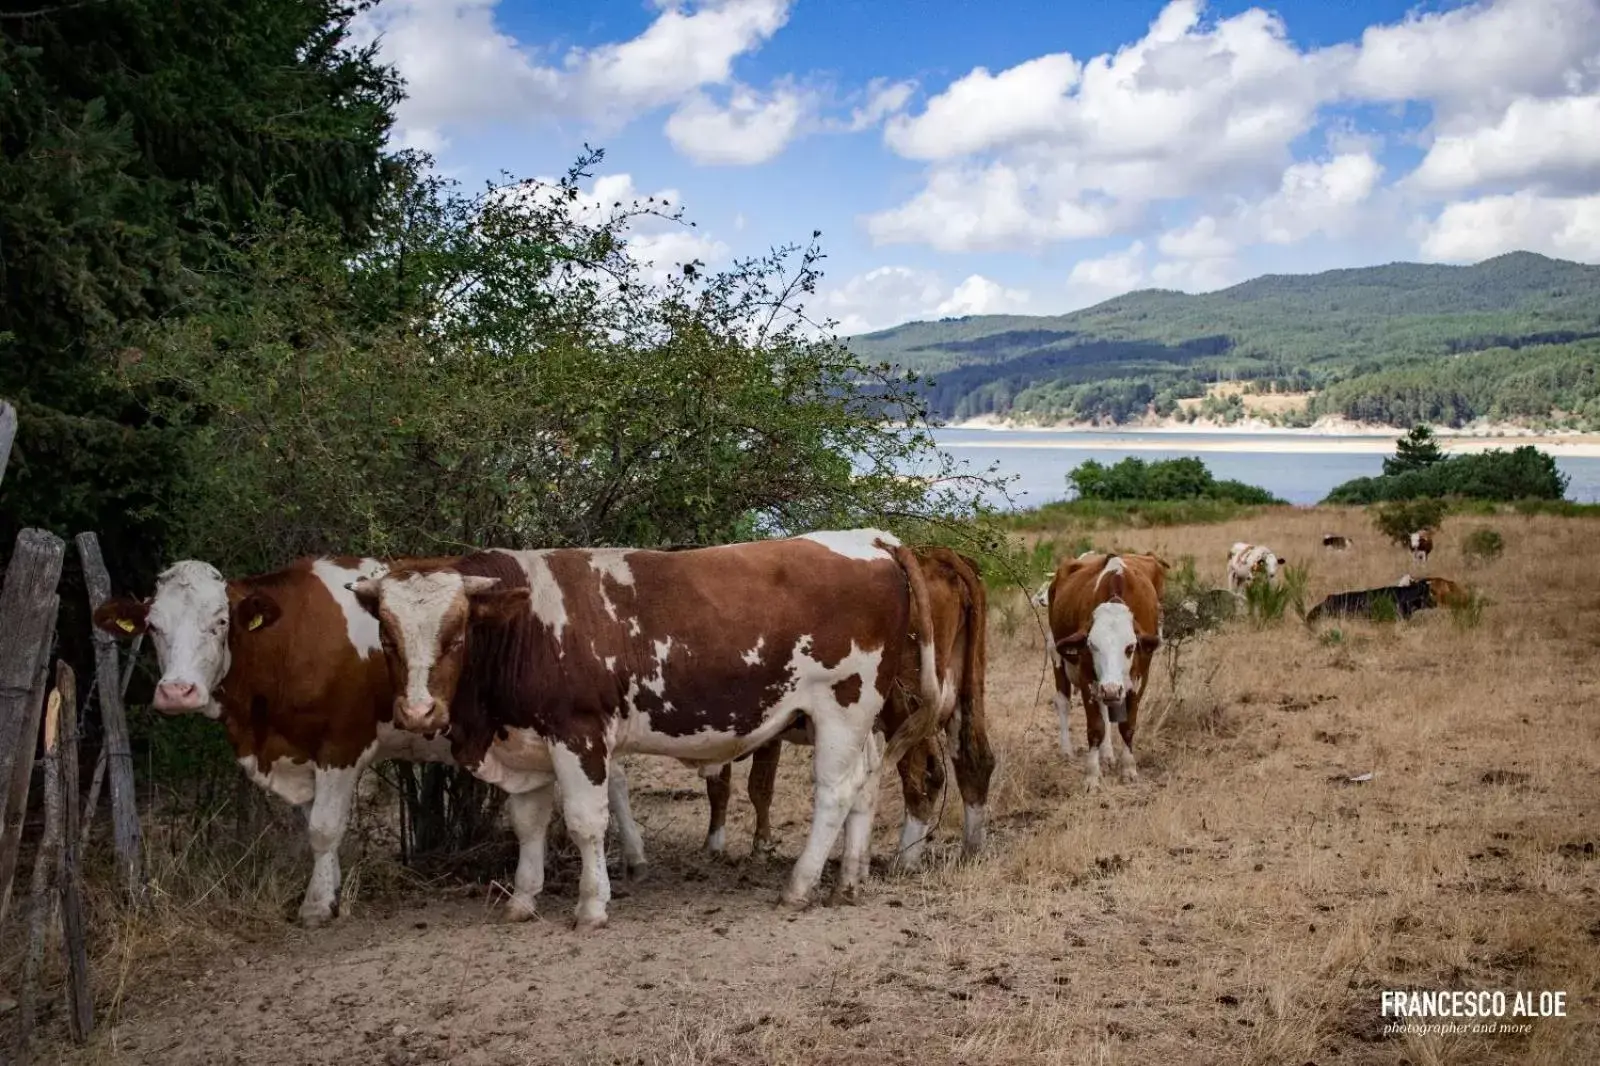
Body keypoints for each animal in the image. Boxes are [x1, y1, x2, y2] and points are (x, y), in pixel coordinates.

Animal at [92, 557, 649, 921]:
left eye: (220, 622)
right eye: (153, 627)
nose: (177, 691)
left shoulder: (341, 743)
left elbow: (323, 827)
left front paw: (317, 905)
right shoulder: (302, 751)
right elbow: (314, 826)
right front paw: (331, 885)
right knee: (617, 778)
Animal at [348, 528, 940, 928]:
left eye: (455, 635)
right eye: (389, 638)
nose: (418, 712)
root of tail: (869, 538)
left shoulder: (578, 733)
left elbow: (586, 822)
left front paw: (591, 905)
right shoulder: (525, 744)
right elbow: (529, 825)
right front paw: (522, 899)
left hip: (843, 703)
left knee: (835, 792)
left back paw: (799, 886)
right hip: (854, 717)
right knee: (865, 785)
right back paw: (849, 880)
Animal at [704, 547, 992, 870]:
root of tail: (934, 556)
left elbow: (752, 786)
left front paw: (739, 847)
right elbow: (734, 787)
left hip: (904, 707)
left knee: (925, 771)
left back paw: (903, 859)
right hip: (967, 691)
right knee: (974, 759)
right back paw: (971, 850)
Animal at [1043, 550, 1171, 784]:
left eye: (1130, 647)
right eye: (1092, 645)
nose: (1111, 689)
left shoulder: (1139, 678)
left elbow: (1127, 725)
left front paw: (1128, 768)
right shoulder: (1087, 678)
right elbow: (1095, 727)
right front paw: (1092, 775)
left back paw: (1108, 755)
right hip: (1056, 655)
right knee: (1063, 703)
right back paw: (1067, 750)